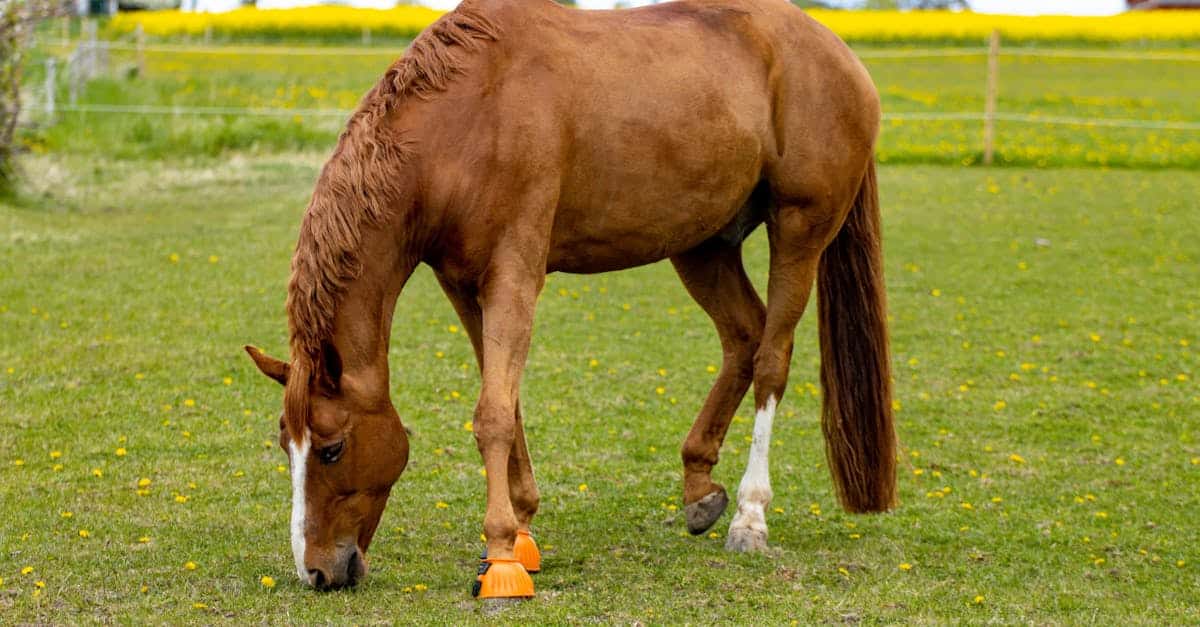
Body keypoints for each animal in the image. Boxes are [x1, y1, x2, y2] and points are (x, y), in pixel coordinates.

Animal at [245, 0, 896, 598]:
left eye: (332, 450)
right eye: (284, 446)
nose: (316, 571)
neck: (468, 120)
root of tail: (839, 54)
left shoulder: (514, 273)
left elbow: (492, 414)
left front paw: (500, 557)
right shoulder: (461, 283)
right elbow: (506, 403)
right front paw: (523, 532)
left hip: (799, 230)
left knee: (770, 360)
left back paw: (749, 516)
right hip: (703, 246)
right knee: (743, 337)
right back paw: (699, 489)